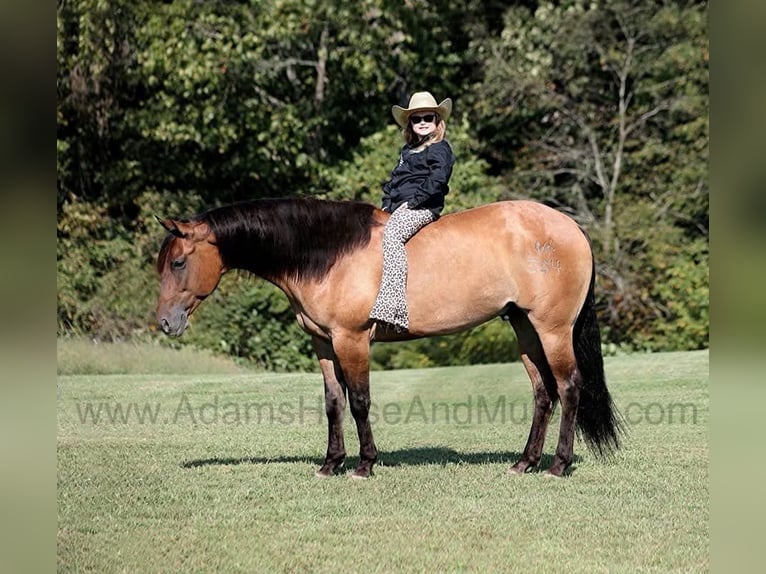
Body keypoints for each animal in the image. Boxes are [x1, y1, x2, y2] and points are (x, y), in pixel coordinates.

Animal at [155, 197, 622, 478]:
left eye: (177, 262)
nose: (164, 323)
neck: (329, 253)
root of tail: (571, 227)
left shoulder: (352, 340)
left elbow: (359, 402)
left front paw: (364, 464)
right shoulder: (323, 344)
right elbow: (333, 403)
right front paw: (330, 463)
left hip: (553, 329)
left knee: (569, 386)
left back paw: (558, 465)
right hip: (524, 328)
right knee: (544, 393)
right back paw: (524, 462)